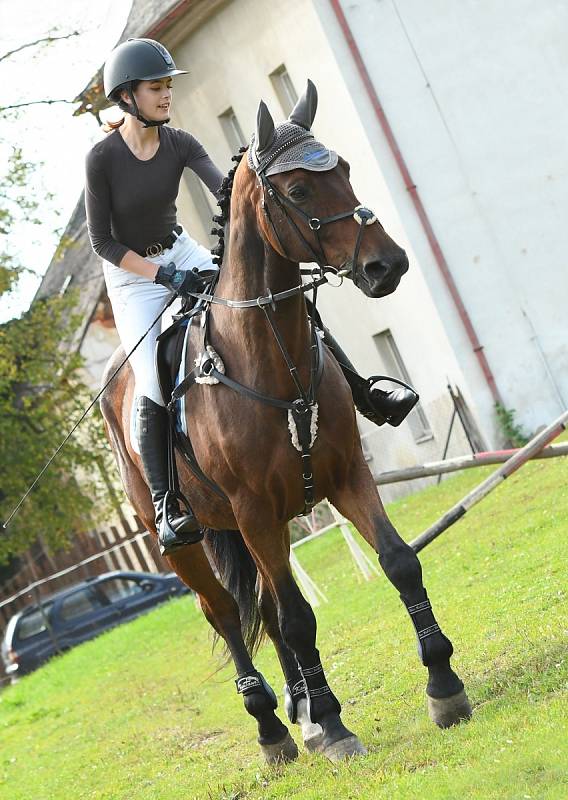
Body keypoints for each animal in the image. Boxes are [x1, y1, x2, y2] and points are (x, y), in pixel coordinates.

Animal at [101, 79, 470, 764]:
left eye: (346, 170)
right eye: (297, 192)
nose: (388, 266)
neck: (268, 359)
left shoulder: (347, 475)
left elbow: (398, 562)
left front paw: (443, 685)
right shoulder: (255, 511)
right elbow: (298, 617)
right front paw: (337, 725)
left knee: (266, 609)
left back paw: (300, 713)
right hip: (186, 539)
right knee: (225, 611)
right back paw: (273, 727)